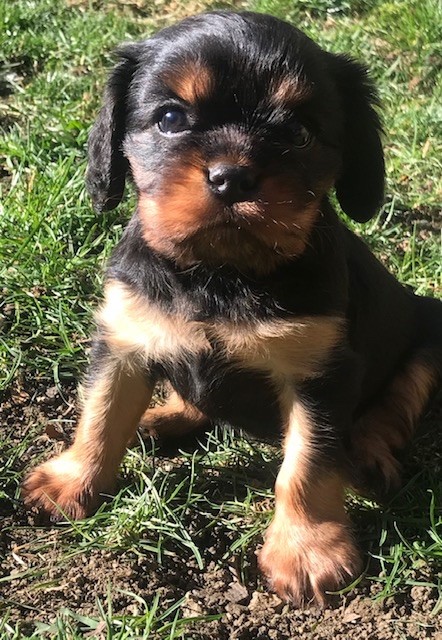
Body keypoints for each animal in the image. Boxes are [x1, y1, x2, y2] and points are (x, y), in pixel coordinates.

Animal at [23, 11, 442, 605]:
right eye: (170, 118)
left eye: (298, 133)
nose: (232, 177)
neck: (219, 274)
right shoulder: (123, 339)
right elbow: (100, 415)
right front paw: (71, 481)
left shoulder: (320, 374)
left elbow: (308, 464)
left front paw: (306, 551)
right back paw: (161, 418)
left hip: (430, 329)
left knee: (396, 403)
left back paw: (368, 449)